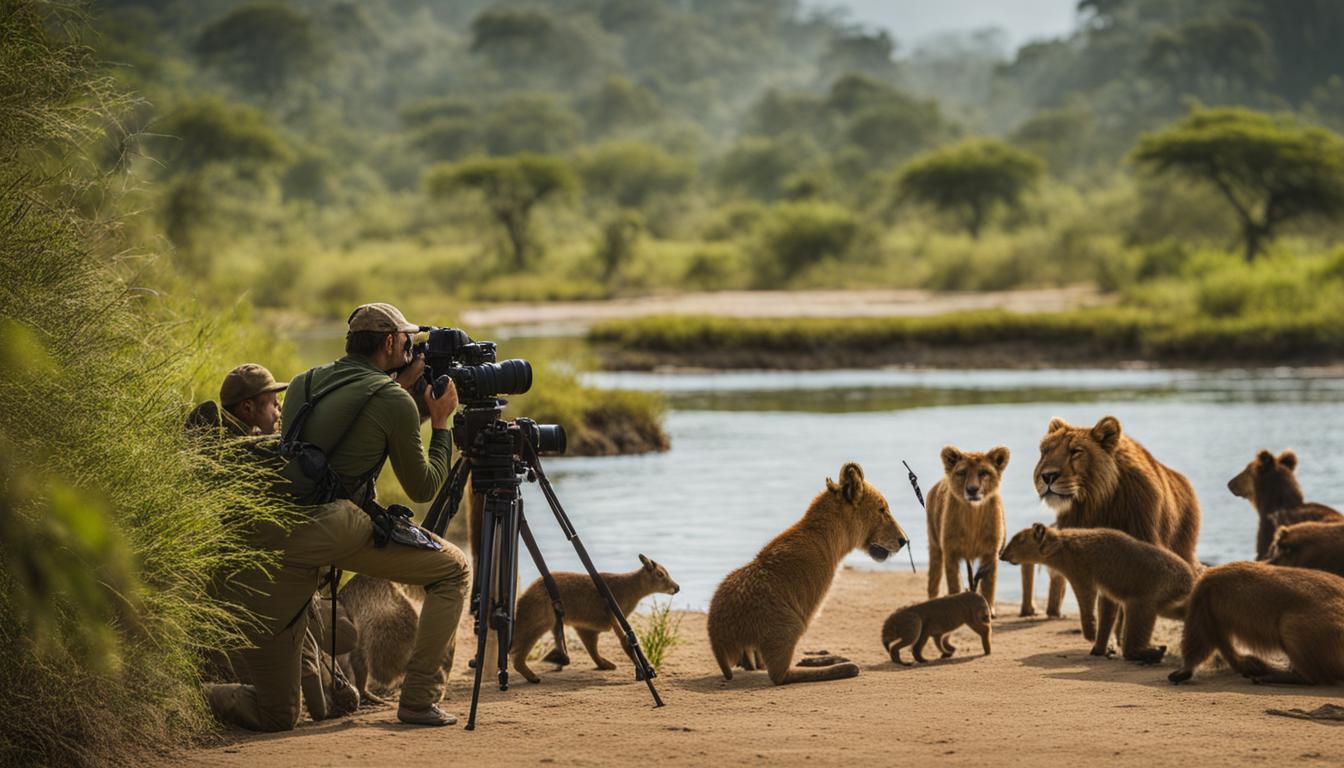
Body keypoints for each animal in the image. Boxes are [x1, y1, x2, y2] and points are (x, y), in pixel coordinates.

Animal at [709, 462, 908, 685]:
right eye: (882, 510)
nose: (904, 540)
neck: (824, 534)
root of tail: (717, 640)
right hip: (790, 626)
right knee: (781, 676)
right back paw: (843, 666)